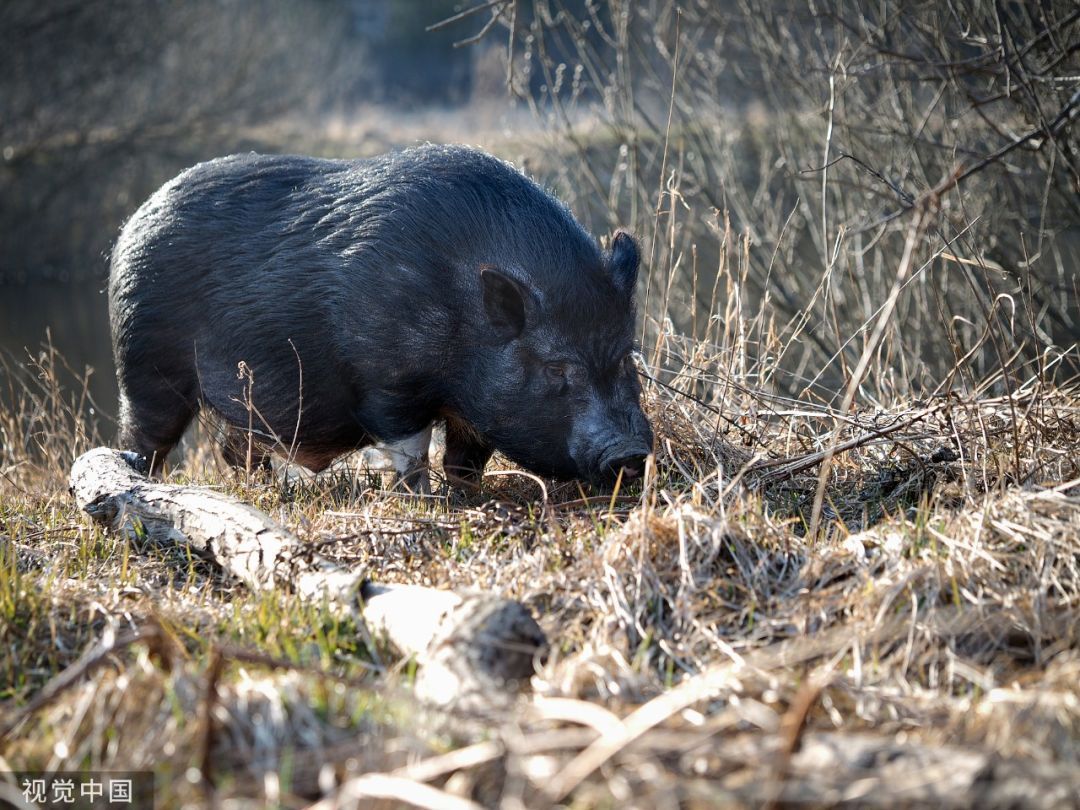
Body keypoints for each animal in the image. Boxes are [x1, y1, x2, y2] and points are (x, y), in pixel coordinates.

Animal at [108, 144, 653, 491]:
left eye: (626, 357)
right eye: (557, 366)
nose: (630, 454)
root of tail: (134, 219)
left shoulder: (471, 407)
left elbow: (466, 458)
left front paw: (464, 495)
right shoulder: (388, 383)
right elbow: (410, 448)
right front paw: (423, 500)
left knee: (232, 447)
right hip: (146, 362)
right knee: (145, 436)